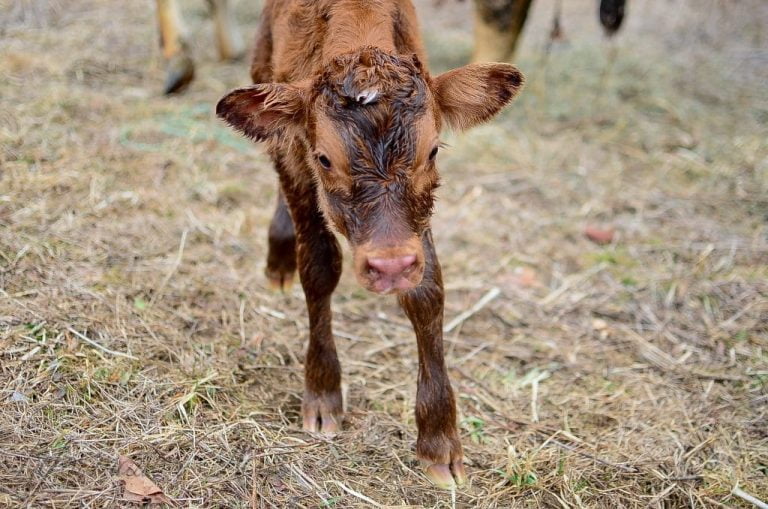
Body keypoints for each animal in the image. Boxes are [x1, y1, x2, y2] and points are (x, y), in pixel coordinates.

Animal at [215, 0, 524, 489]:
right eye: (325, 158)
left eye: (432, 150)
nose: (390, 267)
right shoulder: (295, 152)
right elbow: (319, 266)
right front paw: (323, 393)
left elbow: (427, 292)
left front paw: (438, 438)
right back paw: (280, 257)